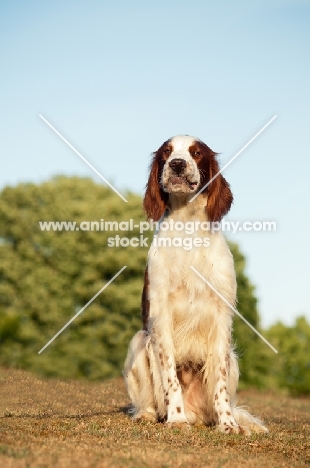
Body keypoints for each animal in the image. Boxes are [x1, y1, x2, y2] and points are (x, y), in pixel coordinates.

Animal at [123, 133, 266, 434]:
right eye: (166, 152)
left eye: (197, 153)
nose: (177, 164)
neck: (188, 227)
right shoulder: (161, 316)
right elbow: (170, 377)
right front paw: (176, 419)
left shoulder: (221, 317)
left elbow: (219, 381)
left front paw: (228, 425)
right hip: (139, 341)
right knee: (149, 402)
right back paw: (151, 415)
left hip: (233, 359)